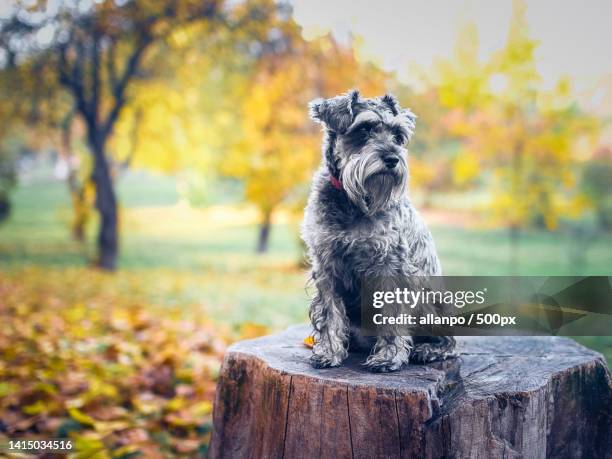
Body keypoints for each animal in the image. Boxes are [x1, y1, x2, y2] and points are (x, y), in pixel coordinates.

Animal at [300, 90, 454, 374]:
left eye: (398, 136)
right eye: (364, 129)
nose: (393, 159)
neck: (354, 200)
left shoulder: (389, 267)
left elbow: (392, 315)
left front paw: (388, 358)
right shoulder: (326, 266)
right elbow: (329, 313)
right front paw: (329, 352)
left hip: (431, 304)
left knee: (449, 342)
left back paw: (428, 350)